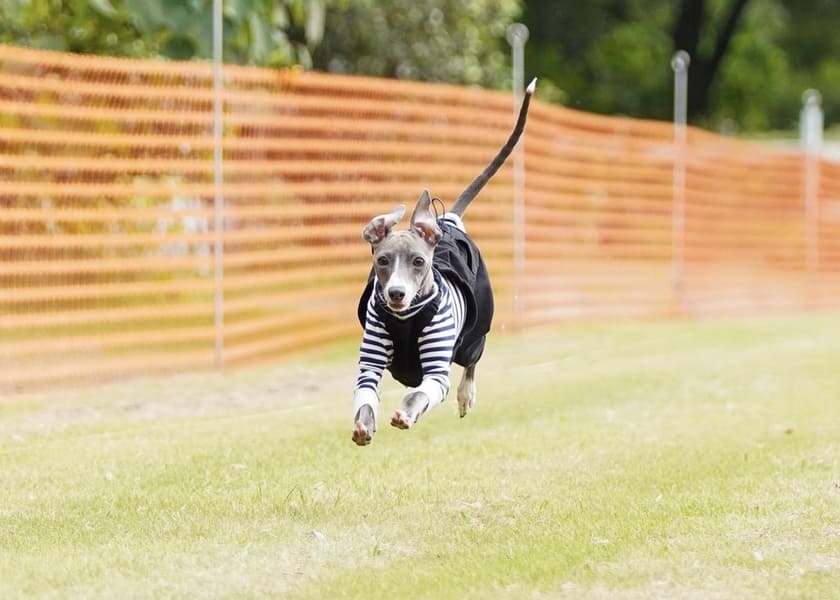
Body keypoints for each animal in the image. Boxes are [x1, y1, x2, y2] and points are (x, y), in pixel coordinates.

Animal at [350, 78, 536, 446]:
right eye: (383, 261)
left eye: (418, 261)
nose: (396, 294)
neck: (405, 319)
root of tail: (447, 220)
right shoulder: (370, 364)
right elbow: (365, 394)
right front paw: (364, 425)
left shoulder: (437, 373)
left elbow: (421, 393)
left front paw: (406, 413)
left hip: (473, 335)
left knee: (472, 360)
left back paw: (466, 396)